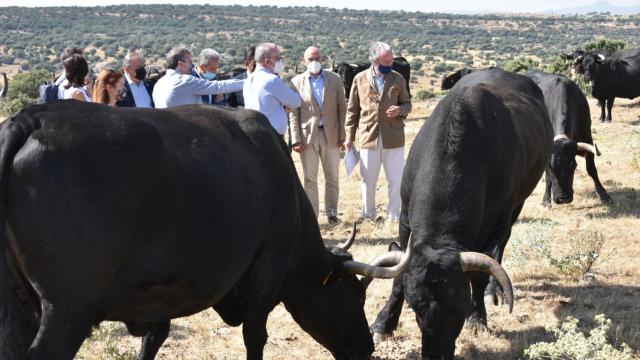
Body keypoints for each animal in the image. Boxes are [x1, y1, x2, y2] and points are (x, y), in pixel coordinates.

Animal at [0, 101, 410, 360]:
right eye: (353, 296)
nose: (367, 347)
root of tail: (29, 119)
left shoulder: (160, 293)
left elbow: (154, 339)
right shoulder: (268, 265)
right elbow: (255, 336)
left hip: (22, 306)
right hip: (67, 308)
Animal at [370, 69, 556, 358]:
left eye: (460, 303)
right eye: (416, 307)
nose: (436, 353)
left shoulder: (497, 223)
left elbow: (479, 274)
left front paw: (478, 318)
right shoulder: (405, 220)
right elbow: (398, 275)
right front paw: (383, 323)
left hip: (516, 208)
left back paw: (495, 290)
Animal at [528, 70, 612, 205]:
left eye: (574, 165)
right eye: (552, 168)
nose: (563, 199)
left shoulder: (588, 139)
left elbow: (591, 169)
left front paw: (604, 195)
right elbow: (547, 175)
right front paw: (546, 200)